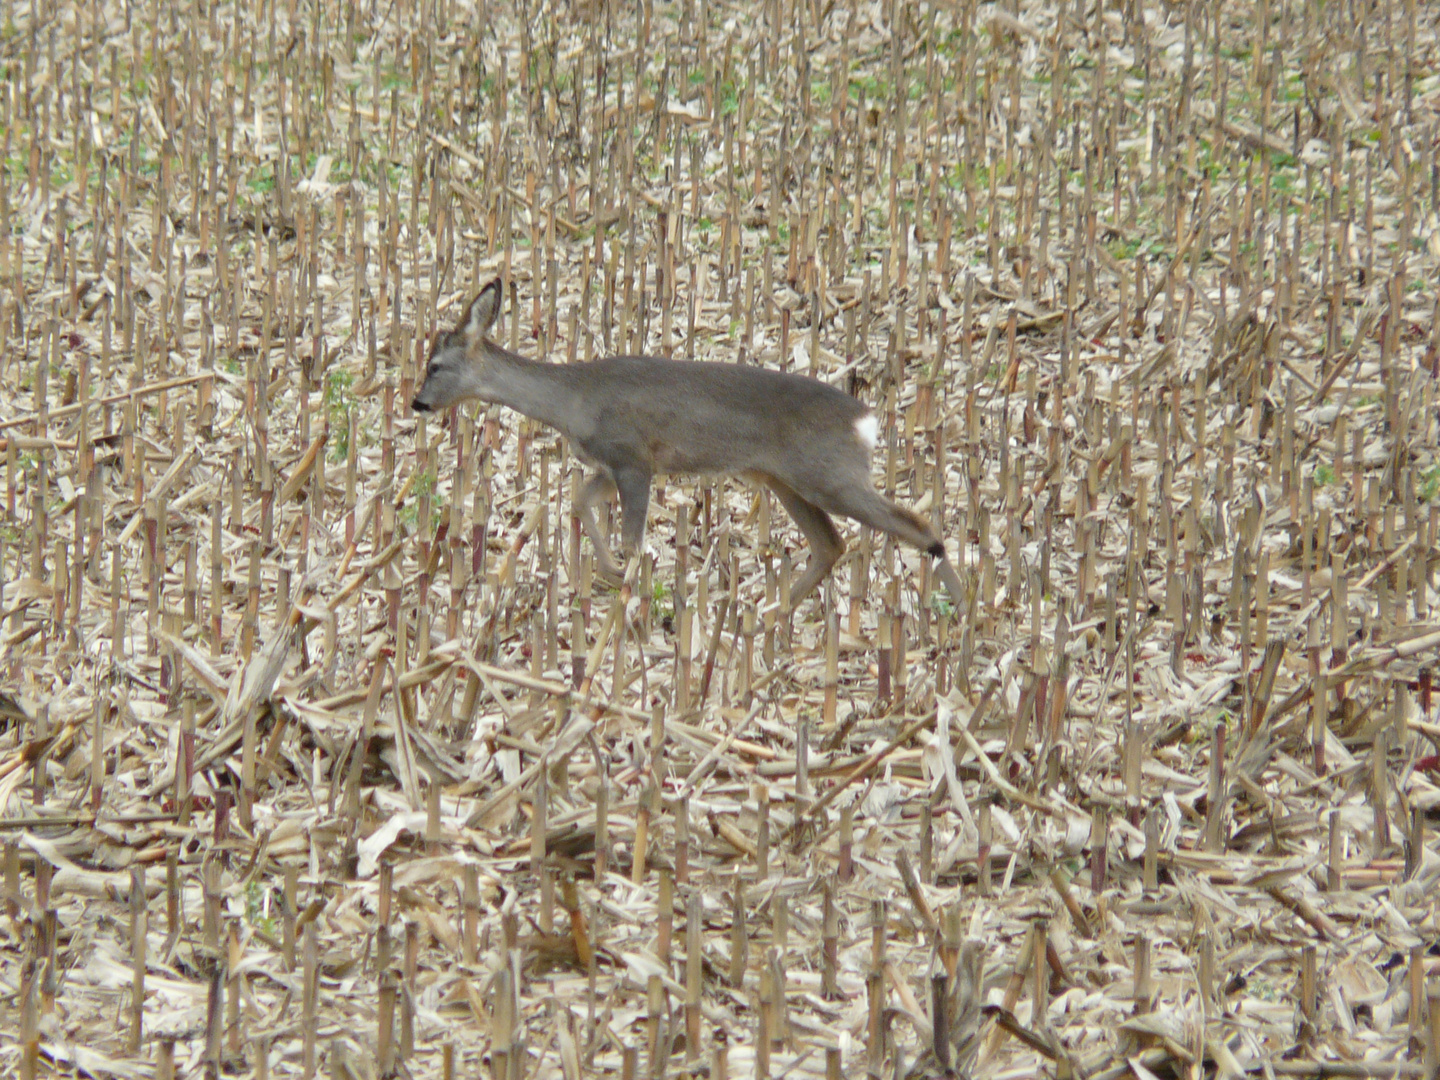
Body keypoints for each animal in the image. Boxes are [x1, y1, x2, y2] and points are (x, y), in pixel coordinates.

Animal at [411, 279, 961, 613]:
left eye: (435, 365)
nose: (417, 402)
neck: (574, 399)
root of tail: (865, 420)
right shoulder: (611, 465)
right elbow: (579, 501)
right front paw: (608, 570)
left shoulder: (633, 457)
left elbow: (632, 536)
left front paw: (630, 588)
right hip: (787, 480)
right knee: (831, 544)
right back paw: (769, 611)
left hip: (831, 475)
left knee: (918, 525)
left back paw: (958, 611)